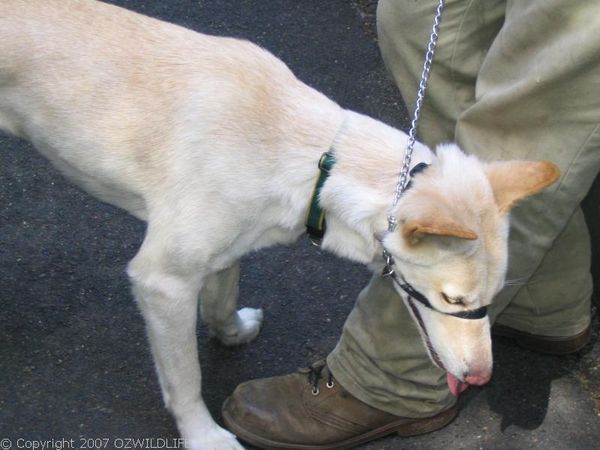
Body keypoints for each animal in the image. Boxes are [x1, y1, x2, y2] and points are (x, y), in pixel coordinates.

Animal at [0, 1, 560, 448]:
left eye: (495, 298)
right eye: (453, 300)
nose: (481, 379)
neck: (315, 157)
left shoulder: (225, 251)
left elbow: (220, 299)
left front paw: (231, 333)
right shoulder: (162, 281)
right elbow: (185, 379)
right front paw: (204, 437)